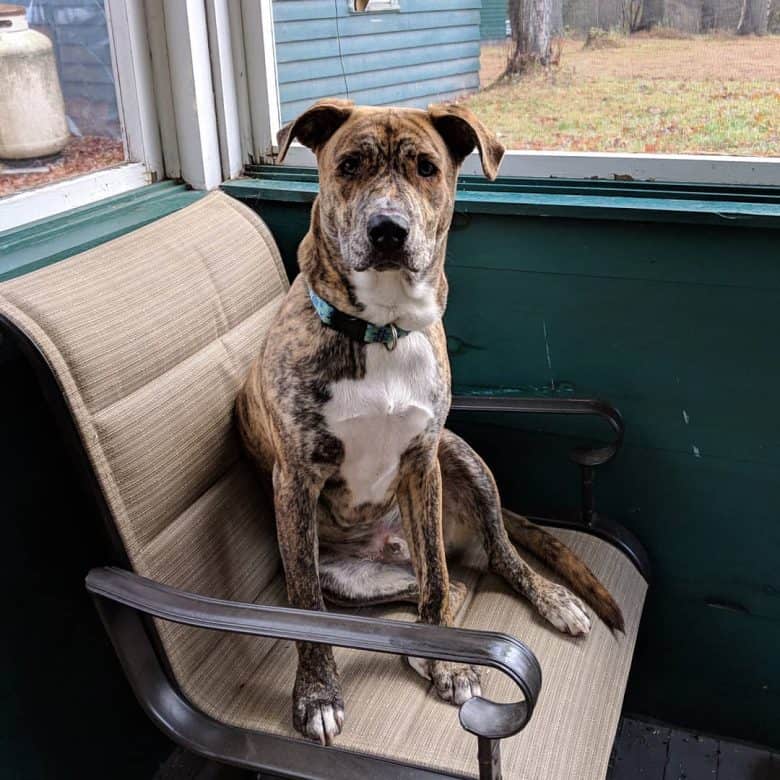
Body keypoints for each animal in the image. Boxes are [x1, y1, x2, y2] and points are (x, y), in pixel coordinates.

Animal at [235, 100, 624, 748]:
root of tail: (389, 543)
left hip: (463, 460)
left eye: (426, 168)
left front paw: (446, 661)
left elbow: (440, 582)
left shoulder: (422, 464)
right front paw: (317, 694)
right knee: (443, 587)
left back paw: (543, 601)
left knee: (485, 561)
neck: (384, 328)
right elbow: (306, 606)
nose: (388, 230)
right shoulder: (293, 482)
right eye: (349, 165)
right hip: (351, 574)